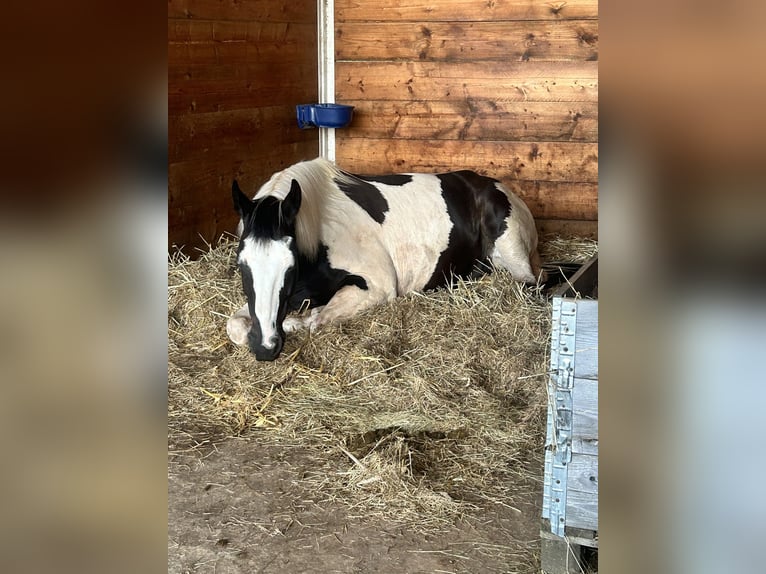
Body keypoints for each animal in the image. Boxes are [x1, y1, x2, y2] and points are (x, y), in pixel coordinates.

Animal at [225, 158, 544, 362]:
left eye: (289, 265)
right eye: (241, 264)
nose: (266, 348)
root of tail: (497, 186)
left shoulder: (377, 286)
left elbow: (318, 320)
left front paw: (298, 322)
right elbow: (236, 325)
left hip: (514, 257)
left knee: (529, 283)